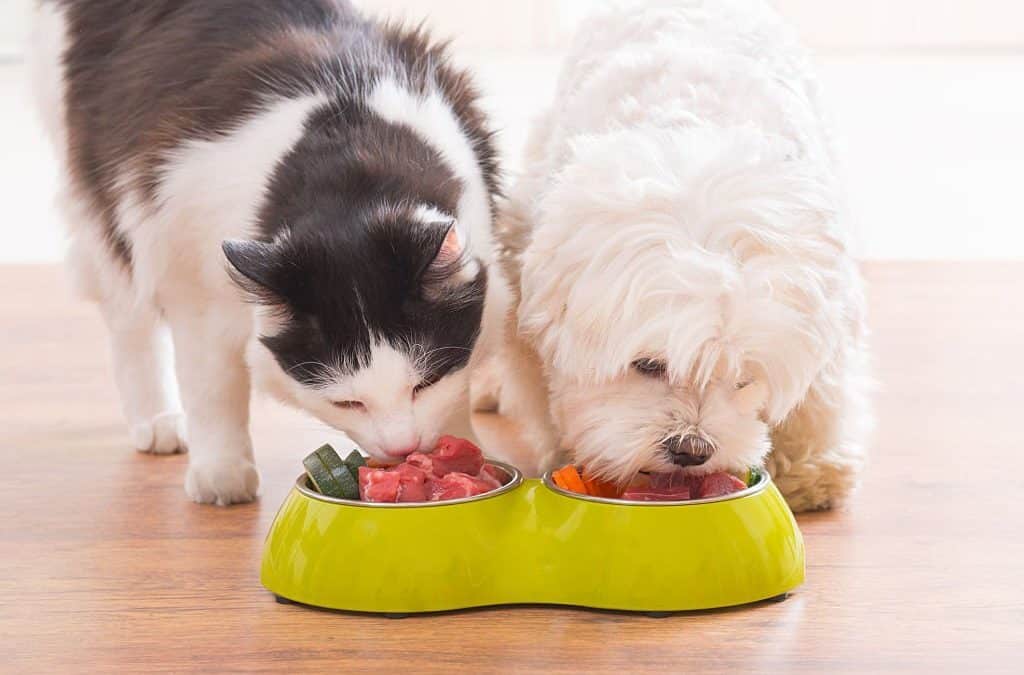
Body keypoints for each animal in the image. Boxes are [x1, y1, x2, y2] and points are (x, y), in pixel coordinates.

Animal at [29, 1, 499, 508]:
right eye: (347, 403)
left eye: (424, 383)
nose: (403, 447)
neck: (347, 170)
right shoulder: (194, 282)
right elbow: (213, 387)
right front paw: (221, 473)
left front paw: (461, 451)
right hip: (107, 202)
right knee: (128, 317)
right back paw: (157, 422)